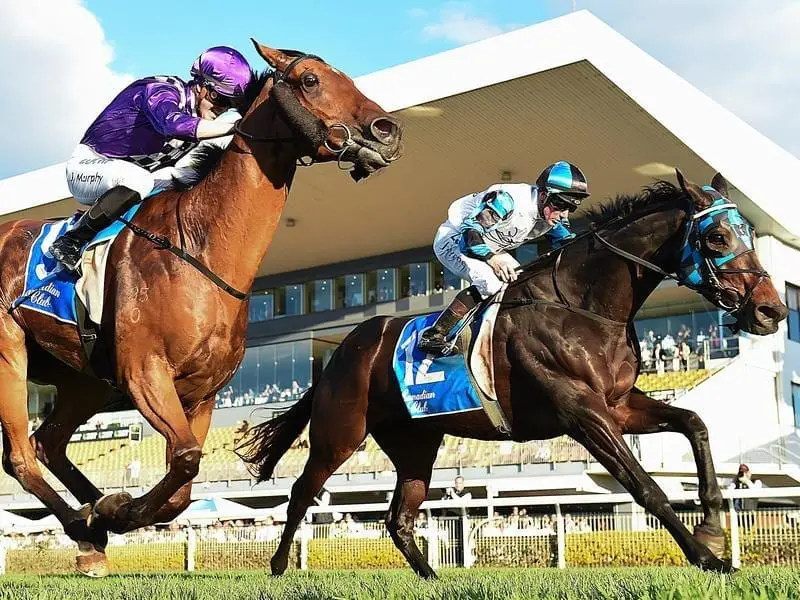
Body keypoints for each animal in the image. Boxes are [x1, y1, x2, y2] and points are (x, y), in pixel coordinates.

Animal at [0, 41, 404, 576]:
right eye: (311, 80)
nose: (388, 131)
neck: (201, 248)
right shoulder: (145, 373)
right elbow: (188, 457)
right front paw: (120, 511)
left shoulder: (203, 393)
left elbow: (183, 485)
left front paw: (113, 509)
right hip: (10, 352)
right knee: (22, 456)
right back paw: (83, 525)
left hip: (84, 379)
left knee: (49, 441)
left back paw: (91, 526)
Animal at [238, 170, 788, 576]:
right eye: (717, 236)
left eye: (748, 233)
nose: (772, 310)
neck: (584, 306)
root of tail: (340, 352)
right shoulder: (583, 414)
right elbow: (645, 486)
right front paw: (708, 558)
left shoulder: (619, 405)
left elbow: (695, 423)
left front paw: (711, 524)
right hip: (340, 433)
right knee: (301, 493)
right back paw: (279, 567)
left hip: (416, 442)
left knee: (398, 517)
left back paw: (434, 578)